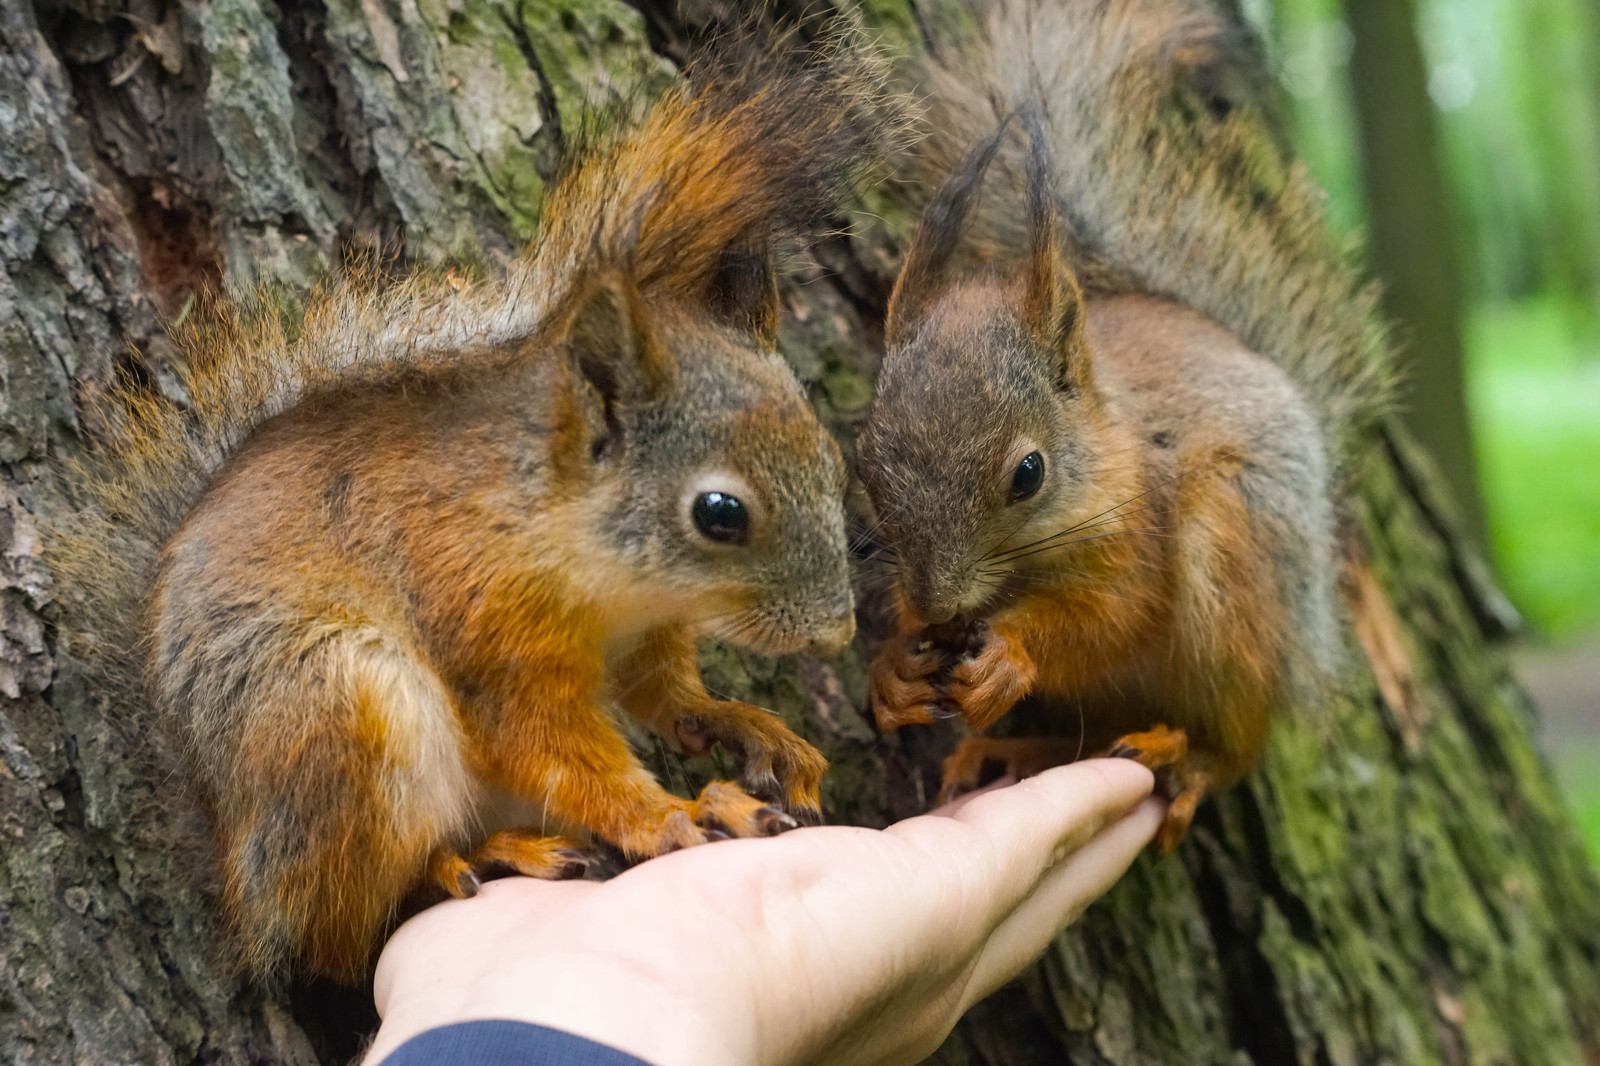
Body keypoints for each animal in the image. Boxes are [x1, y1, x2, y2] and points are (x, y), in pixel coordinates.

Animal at [56, 33, 896, 979]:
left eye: (830, 457)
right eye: (720, 513)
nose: (834, 635)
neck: (597, 563)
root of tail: (235, 862)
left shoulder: (641, 634)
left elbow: (661, 694)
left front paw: (739, 724)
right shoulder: (486, 620)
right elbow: (550, 745)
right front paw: (666, 817)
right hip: (336, 706)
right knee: (349, 928)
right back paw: (481, 859)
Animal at [857, 0, 1395, 845]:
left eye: (1029, 474)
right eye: (864, 465)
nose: (941, 606)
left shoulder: (1139, 528)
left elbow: (1116, 616)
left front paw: (1012, 651)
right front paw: (894, 665)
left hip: (1234, 559)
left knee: (1244, 735)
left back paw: (1192, 762)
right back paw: (1021, 749)